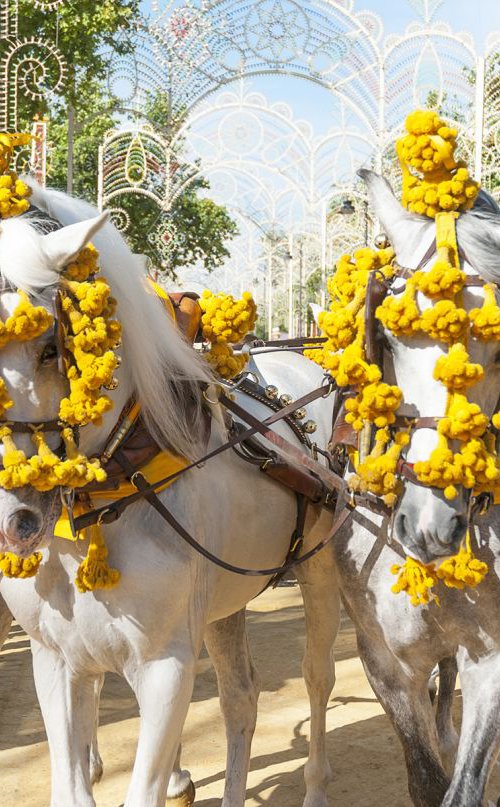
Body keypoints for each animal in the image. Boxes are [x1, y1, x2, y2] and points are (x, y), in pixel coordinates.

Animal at [0, 186, 342, 807]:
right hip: (223, 598)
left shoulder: (166, 665)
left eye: (49, 347)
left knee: (316, 674)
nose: (15, 518)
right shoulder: (56, 661)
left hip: (320, 563)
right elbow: (72, 785)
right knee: (241, 697)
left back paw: (315, 785)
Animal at [332, 170, 500, 807]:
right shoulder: (384, 661)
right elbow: (426, 782)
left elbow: (464, 788)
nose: (432, 524)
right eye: (387, 330)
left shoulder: (493, 657)